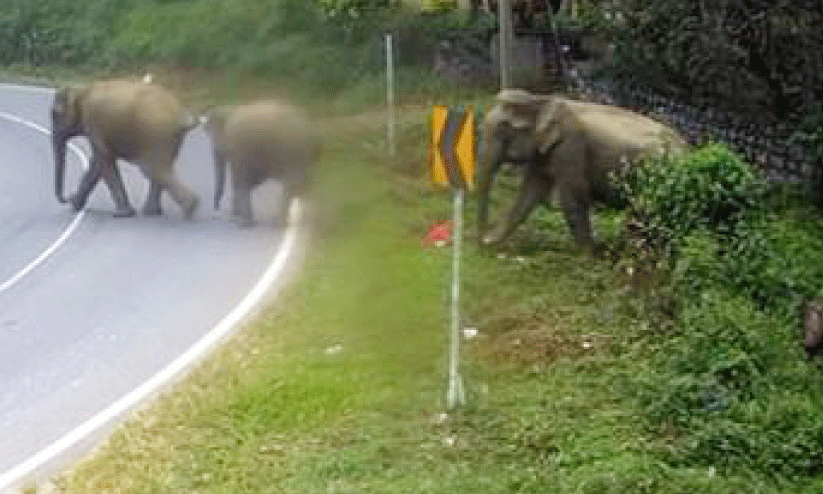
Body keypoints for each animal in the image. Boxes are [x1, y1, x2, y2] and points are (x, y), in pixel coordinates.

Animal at [51, 78, 200, 219]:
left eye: (54, 114)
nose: (67, 198)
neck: (82, 90)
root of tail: (183, 115)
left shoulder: (94, 123)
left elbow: (102, 161)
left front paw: (122, 214)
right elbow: (98, 163)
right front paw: (75, 204)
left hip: (157, 134)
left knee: (152, 169)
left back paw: (189, 208)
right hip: (171, 138)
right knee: (163, 168)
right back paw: (153, 212)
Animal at [477, 89, 687, 249]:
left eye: (502, 129)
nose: (480, 240)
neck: (543, 100)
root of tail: (686, 148)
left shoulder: (571, 144)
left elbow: (574, 195)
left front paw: (587, 255)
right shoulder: (543, 151)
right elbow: (530, 192)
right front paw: (492, 242)